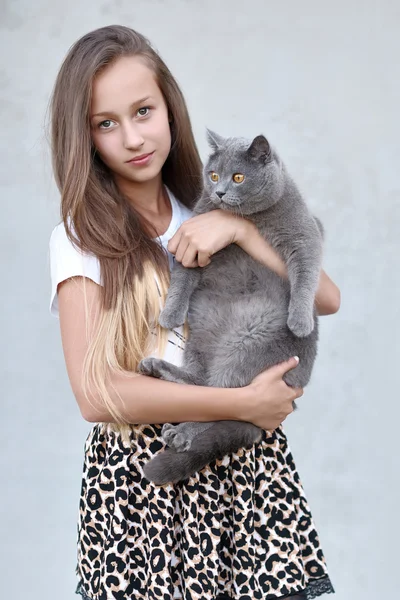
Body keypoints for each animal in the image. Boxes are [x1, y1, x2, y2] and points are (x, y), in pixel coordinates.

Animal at [139, 129, 324, 486]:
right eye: (213, 175)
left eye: (238, 177)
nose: (220, 192)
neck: (248, 220)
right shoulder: (190, 240)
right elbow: (182, 277)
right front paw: (170, 314)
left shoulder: (306, 233)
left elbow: (308, 273)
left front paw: (300, 321)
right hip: (203, 332)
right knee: (206, 390)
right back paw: (159, 372)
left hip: (247, 345)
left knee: (226, 399)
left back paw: (181, 433)